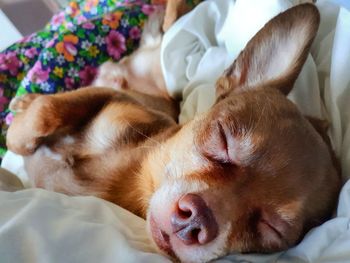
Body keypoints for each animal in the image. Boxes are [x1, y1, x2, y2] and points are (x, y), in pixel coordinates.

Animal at [6, 4, 342, 263]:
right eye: (222, 140)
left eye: (271, 229)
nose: (197, 220)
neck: (128, 182)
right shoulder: (113, 100)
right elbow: (47, 110)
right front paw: (16, 137)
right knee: (167, 25)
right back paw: (25, 100)